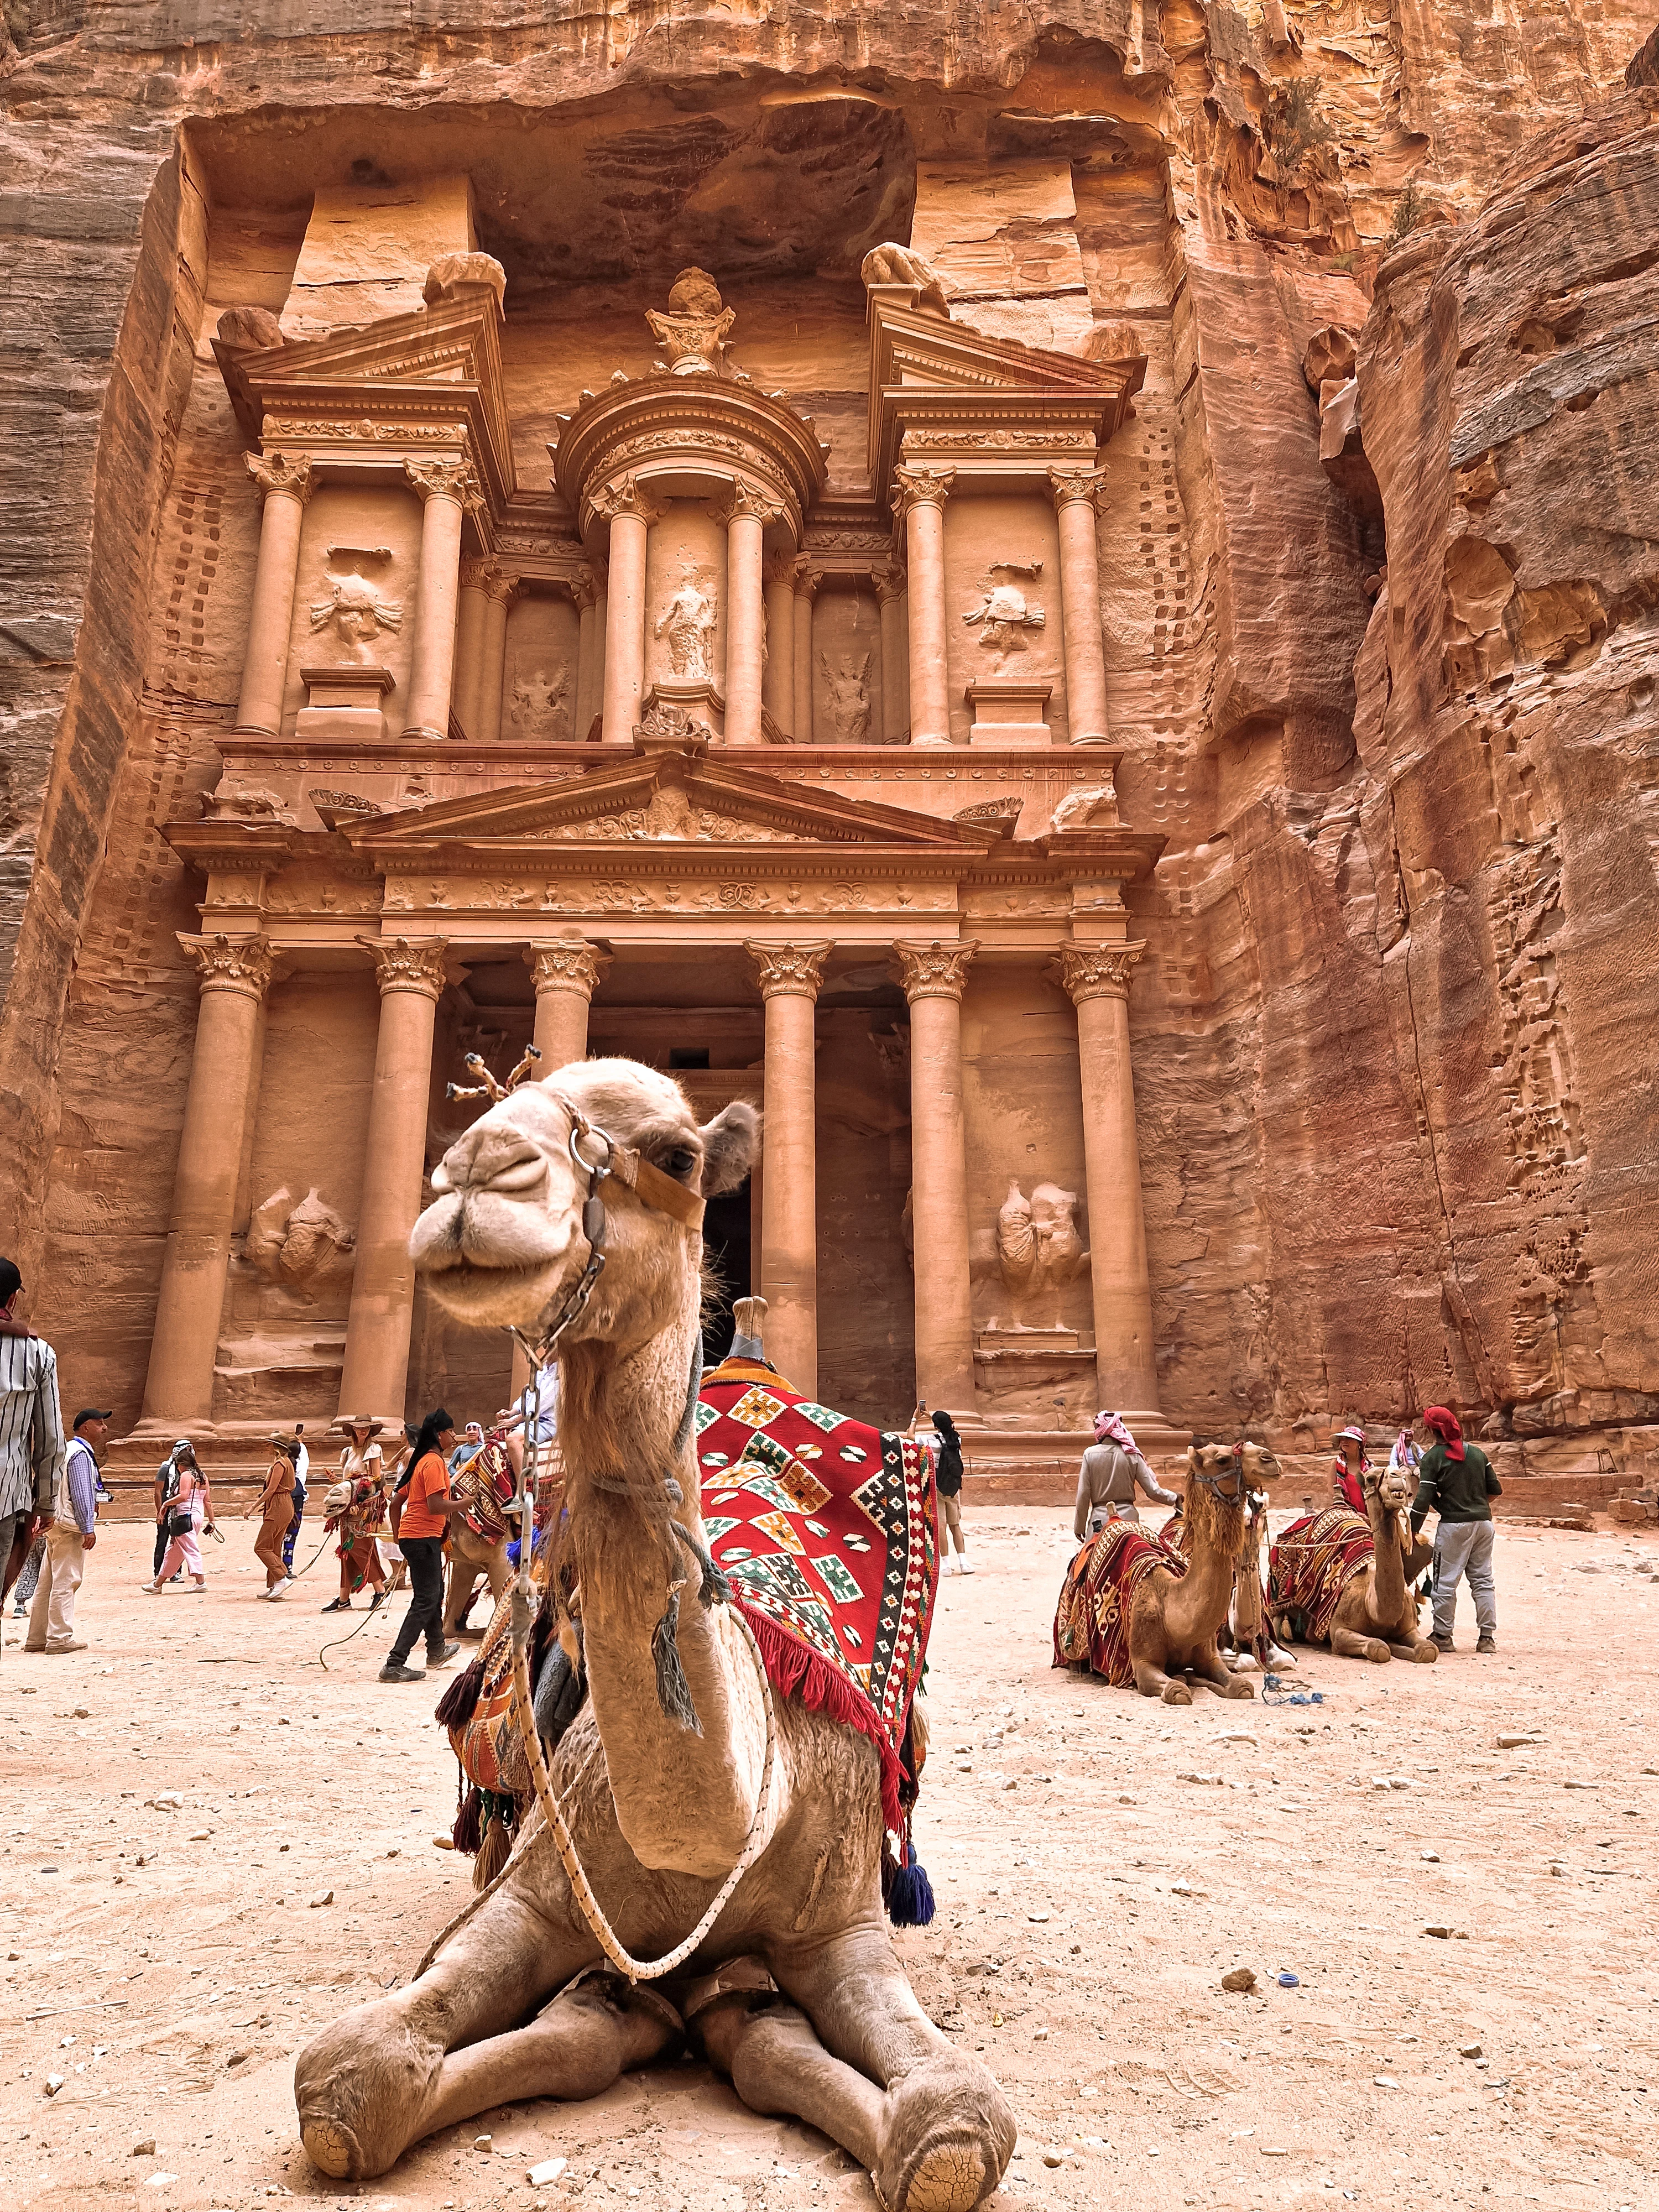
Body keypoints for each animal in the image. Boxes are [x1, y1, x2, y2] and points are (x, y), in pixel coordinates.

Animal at [299, 1057, 1022, 2212]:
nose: (476, 1175)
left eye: (678, 1156)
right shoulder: (539, 1893)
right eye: (499, 1103)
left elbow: (955, 2128)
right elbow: (348, 2079)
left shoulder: (845, 1925)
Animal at [1274, 1460, 1442, 1663]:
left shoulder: (1409, 1629)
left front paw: (1405, 1649)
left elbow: (1428, 1650)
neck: (1376, 1611)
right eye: (1370, 1479)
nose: (1396, 1476)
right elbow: (1379, 1647)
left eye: (1402, 1475)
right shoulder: (1339, 1631)